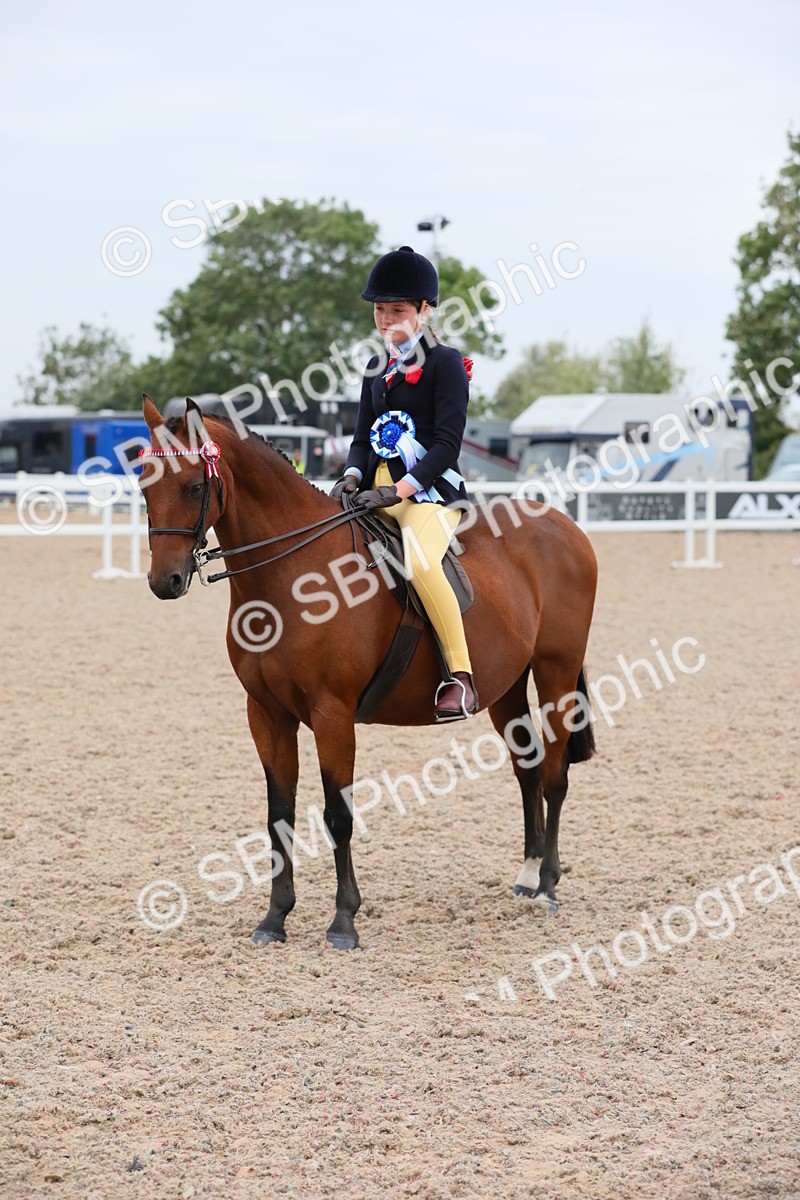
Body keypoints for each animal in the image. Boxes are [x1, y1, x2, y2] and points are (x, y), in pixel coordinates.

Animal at [138, 396, 598, 950]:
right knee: (527, 767)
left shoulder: (332, 714)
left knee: (553, 775)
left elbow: (338, 815)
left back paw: (549, 883)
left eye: (193, 486)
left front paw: (343, 922)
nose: (164, 581)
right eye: (143, 483)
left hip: (556, 674)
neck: (289, 577)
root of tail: (565, 526)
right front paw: (274, 919)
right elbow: (279, 816)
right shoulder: (266, 714)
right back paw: (528, 878)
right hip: (505, 686)